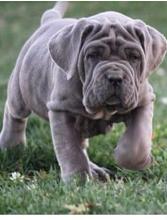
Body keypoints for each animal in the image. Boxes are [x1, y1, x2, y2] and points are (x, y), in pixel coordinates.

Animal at [0, 2, 167, 182]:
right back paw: (12, 148)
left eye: (134, 57)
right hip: (21, 88)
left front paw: (140, 160)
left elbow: (138, 141)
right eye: (93, 55)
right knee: (15, 114)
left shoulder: (143, 101)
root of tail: (49, 20)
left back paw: (95, 170)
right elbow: (71, 151)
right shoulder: (61, 110)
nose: (115, 77)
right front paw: (77, 181)